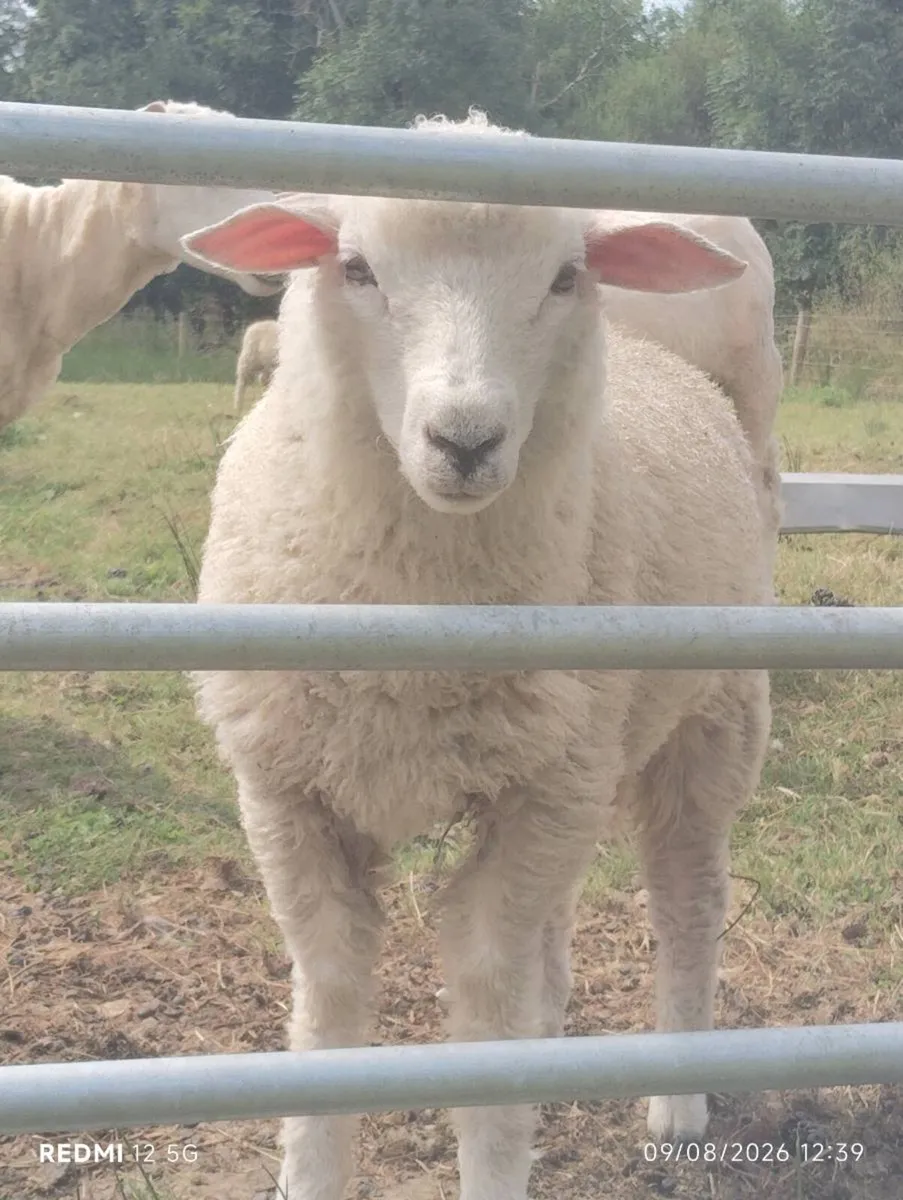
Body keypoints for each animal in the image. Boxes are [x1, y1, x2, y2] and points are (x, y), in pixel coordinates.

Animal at [182, 113, 773, 1200]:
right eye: (357, 269)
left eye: (563, 277)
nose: (465, 440)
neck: (416, 624)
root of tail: (659, 355)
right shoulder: (287, 793)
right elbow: (332, 990)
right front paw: (312, 1169)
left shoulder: (542, 796)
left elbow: (487, 991)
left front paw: (499, 1144)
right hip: (576, 763)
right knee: (561, 922)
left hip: (705, 721)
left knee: (689, 898)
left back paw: (678, 1100)